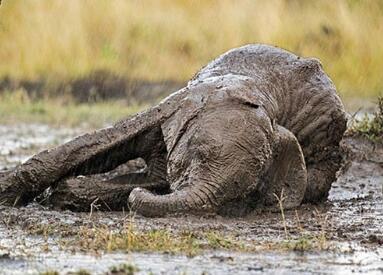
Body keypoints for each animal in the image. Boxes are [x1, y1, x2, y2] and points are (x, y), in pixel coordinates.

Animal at [0, 44, 348, 218]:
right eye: (199, 155)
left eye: (251, 189)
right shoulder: (176, 105)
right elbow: (101, 141)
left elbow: (151, 181)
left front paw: (65, 193)